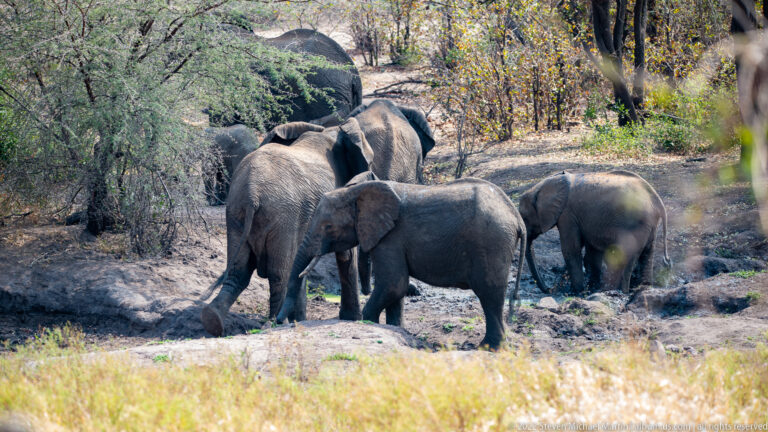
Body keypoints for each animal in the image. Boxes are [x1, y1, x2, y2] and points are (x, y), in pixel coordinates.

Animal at [277, 174, 527, 350]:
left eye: (328, 227)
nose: (278, 322)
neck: (356, 192)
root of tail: (516, 217)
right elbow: (396, 289)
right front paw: (394, 329)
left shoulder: (391, 237)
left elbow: (393, 284)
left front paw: (370, 324)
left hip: (491, 241)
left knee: (489, 293)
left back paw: (488, 348)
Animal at [518, 170, 670, 294]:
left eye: (524, 217)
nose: (549, 289)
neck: (542, 186)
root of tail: (657, 200)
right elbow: (592, 252)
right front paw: (591, 289)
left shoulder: (567, 215)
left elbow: (571, 249)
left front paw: (576, 292)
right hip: (649, 224)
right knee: (647, 254)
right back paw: (642, 288)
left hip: (637, 223)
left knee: (626, 254)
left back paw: (620, 291)